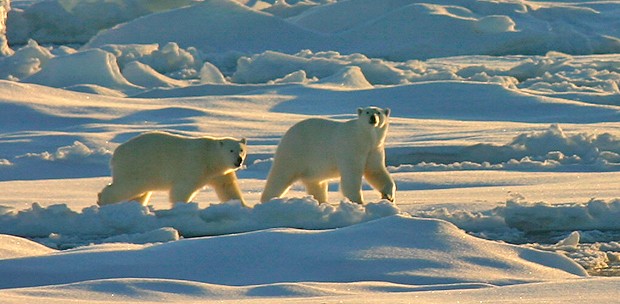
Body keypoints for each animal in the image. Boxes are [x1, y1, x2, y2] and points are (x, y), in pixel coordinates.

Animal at [260, 107, 394, 204]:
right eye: (367, 112)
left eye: (378, 112)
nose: (373, 118)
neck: (365, 138)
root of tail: (287, 133)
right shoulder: (351, 147)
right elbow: (352, 175)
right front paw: (358, 201)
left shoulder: (374, 149)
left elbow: (375, 171)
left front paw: (388, 196)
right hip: (295, 152)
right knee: (280, 175)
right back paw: (268, 200)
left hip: (313, 167)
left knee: (316, 184)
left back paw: (321, 202)